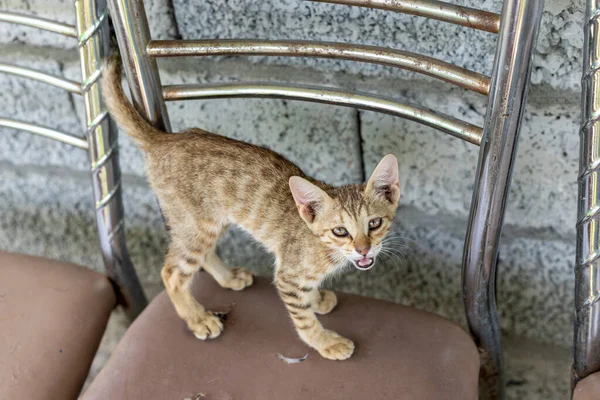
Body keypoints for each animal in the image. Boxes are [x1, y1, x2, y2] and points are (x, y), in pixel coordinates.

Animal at [102, 53, 400, 360]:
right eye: (340, 231)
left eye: (374, 223)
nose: (363, 250)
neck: (324, 248)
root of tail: (164, 138)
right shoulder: (287, 276)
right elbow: (303, 319)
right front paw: (326, 342)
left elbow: (307, 295)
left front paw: (316, 299)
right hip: (196, 225)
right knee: (172, 273)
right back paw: (198, 319)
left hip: (209, 221)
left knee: (202, 255)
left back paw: (228, 278)